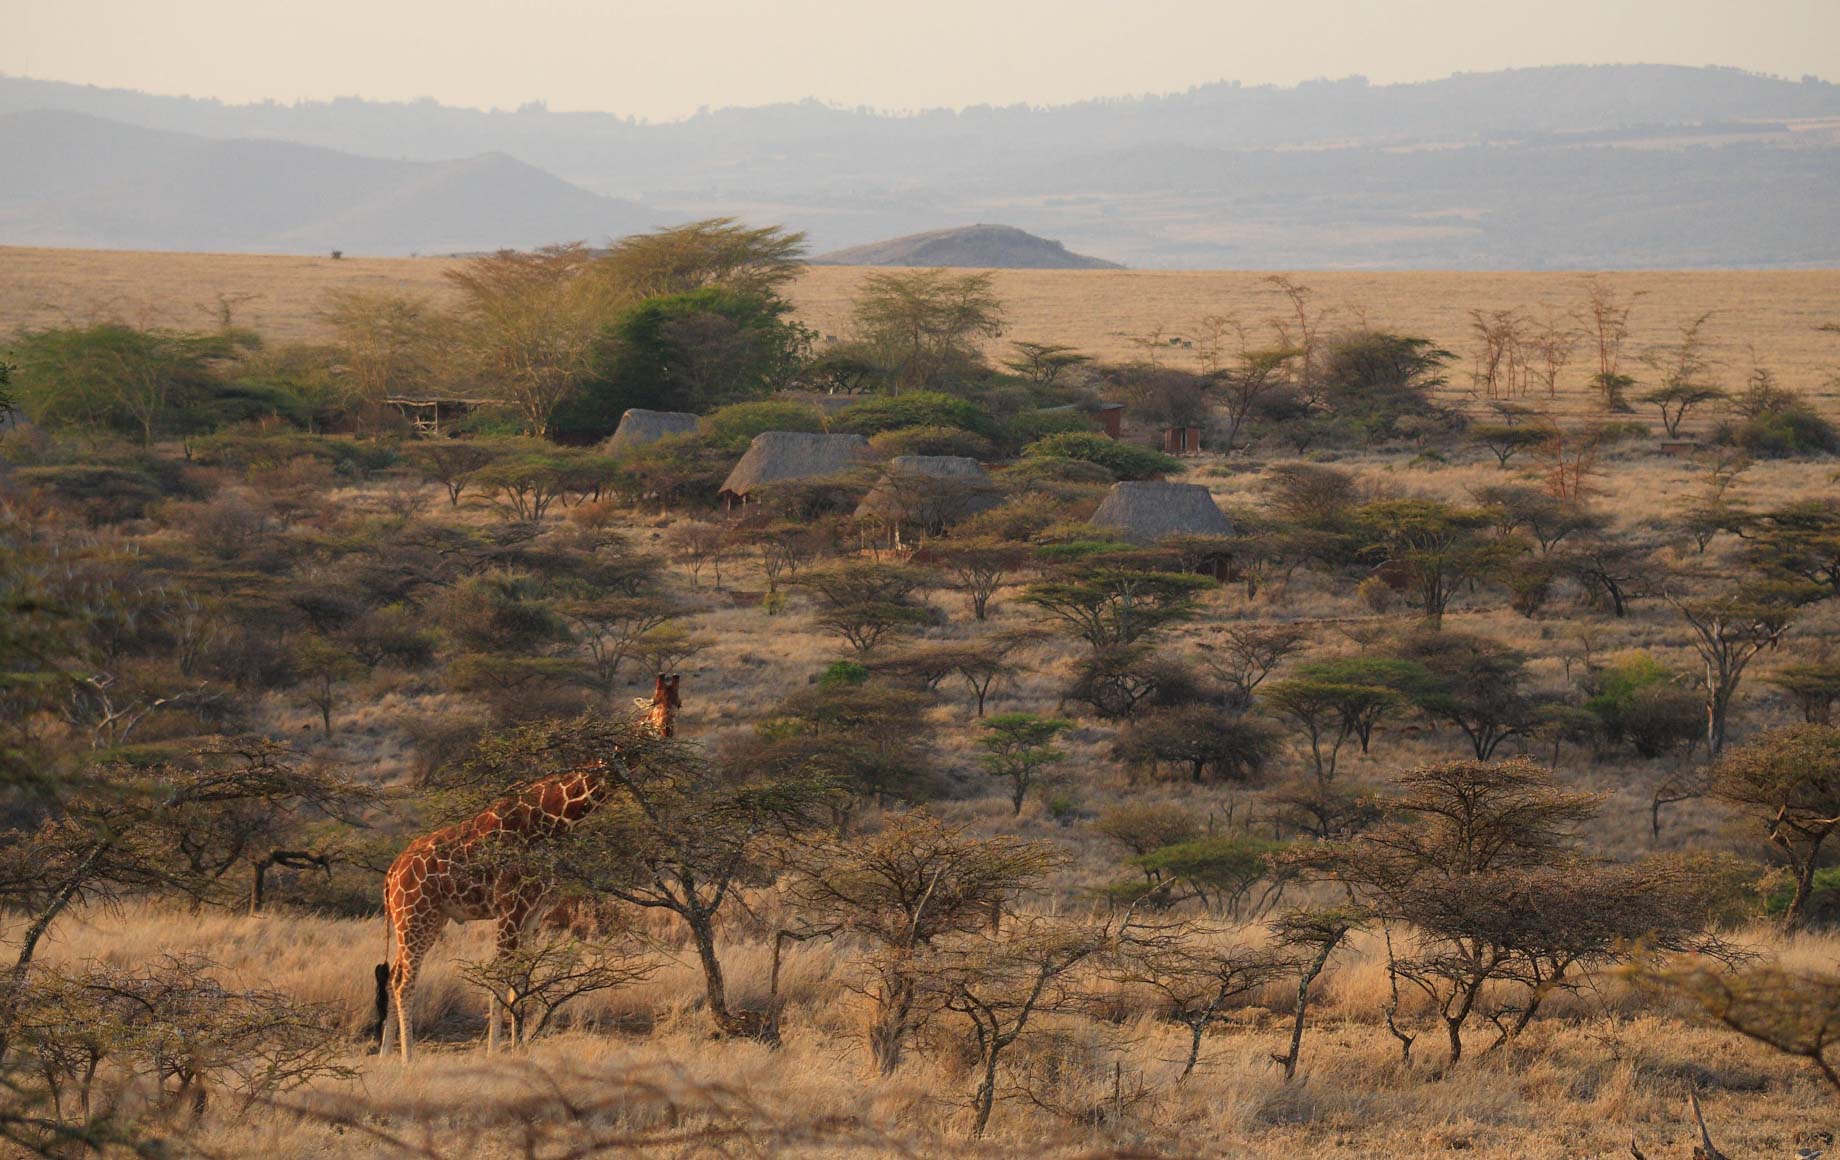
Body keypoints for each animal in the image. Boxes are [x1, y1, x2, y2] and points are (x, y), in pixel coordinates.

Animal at [375, 673, 684, 1060]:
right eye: (654, 704)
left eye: (678, 704)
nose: (667, 730)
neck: (550, 820)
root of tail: (391, 873)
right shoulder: (511, 907)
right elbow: (500, 977)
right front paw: (494, 1052)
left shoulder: (534, 911)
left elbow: (523, 978)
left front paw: (519, 1047)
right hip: (414, 916)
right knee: (404, 980)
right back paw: (408, 1058)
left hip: (430, 918)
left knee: (393, 974)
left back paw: (385, 1055)